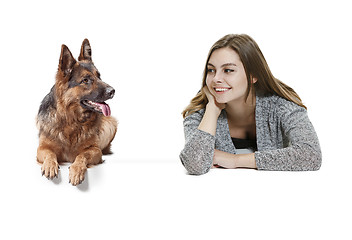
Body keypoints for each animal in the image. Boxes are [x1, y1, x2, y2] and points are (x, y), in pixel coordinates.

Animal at [36, 39, 117, 186]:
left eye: (99, 76)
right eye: (85, 80)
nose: (113, 91)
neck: (71, 119)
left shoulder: (95, 150)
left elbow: (82, 155)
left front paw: (76, 170)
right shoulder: (42, 148)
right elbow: (50, 154)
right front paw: (50, 165)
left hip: (112, 124)